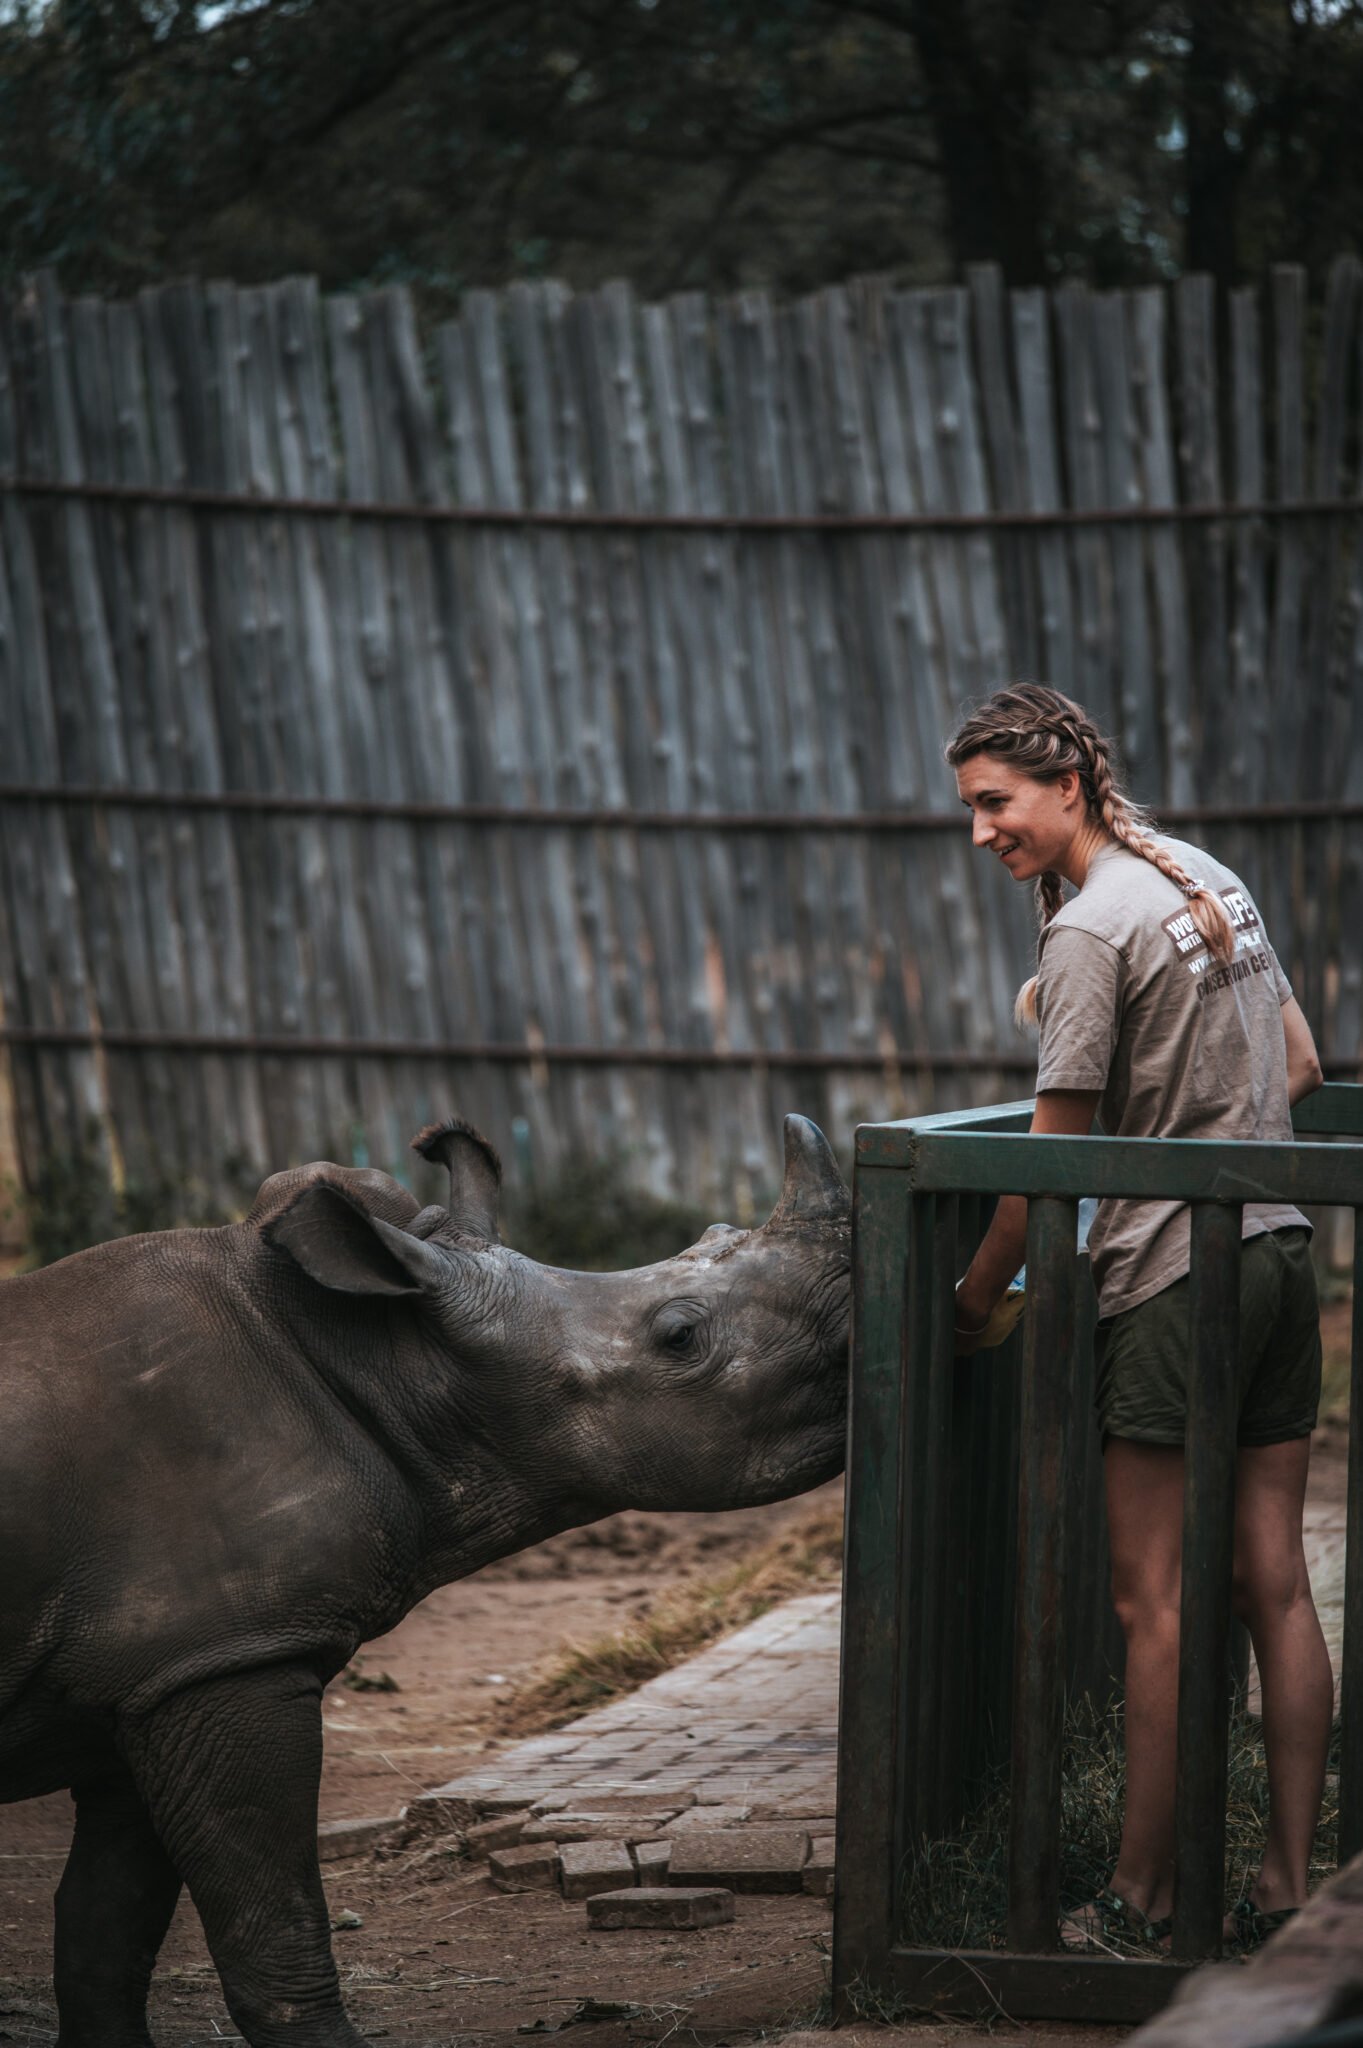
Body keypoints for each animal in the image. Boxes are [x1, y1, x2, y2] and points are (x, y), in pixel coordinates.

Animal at [0, 1113, 850, 2047]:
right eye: (680, 1338)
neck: (393, 1361)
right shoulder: (225, 1658)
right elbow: (270, 1918)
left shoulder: (158, 1668)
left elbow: (104, 1928)